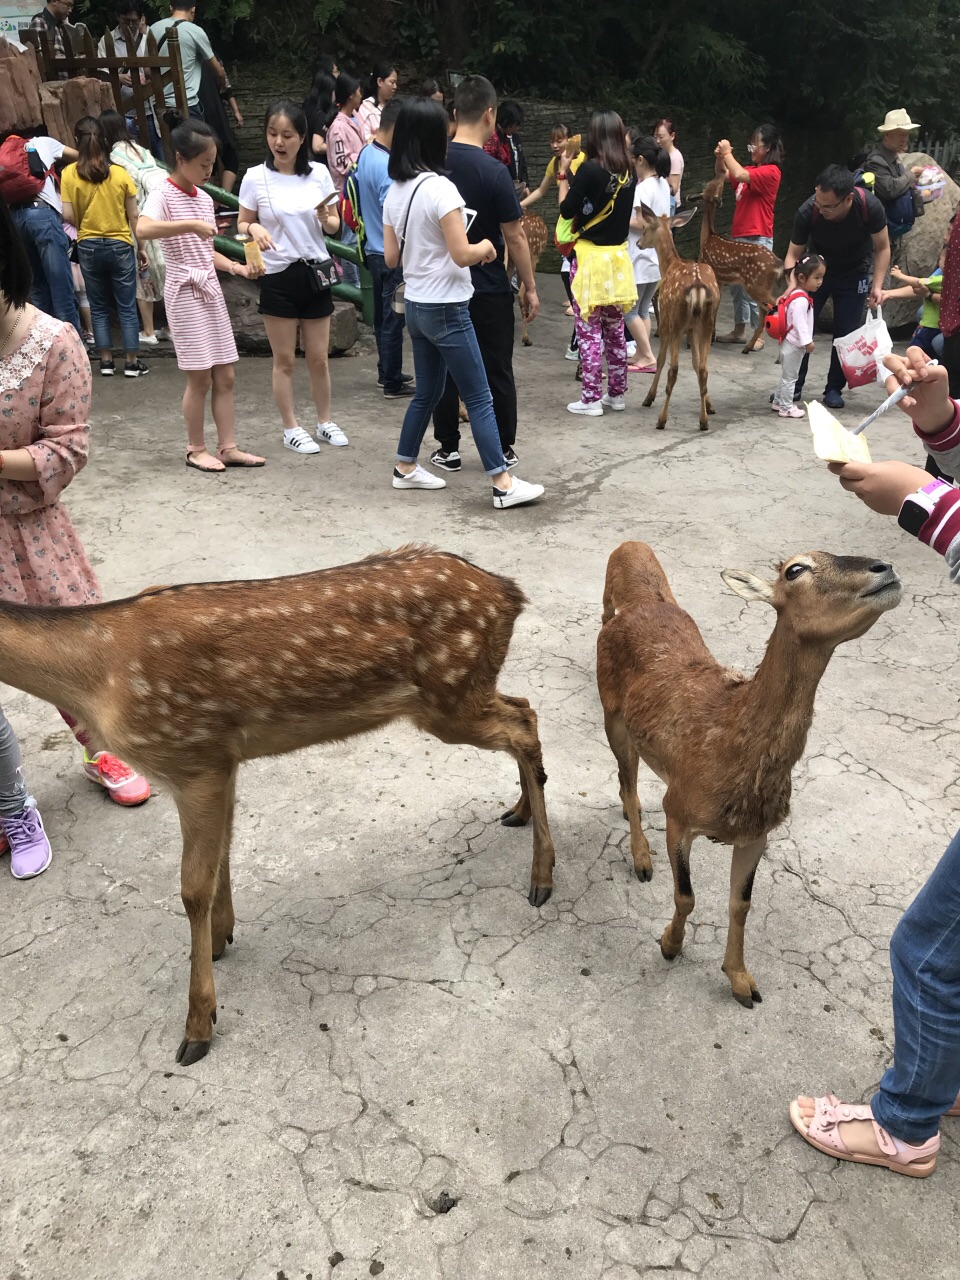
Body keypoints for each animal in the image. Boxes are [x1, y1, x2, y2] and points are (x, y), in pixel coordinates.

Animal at [0, 545, 560, 1064]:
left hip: (450, 695)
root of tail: (509, 592)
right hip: (462, 693)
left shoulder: (193, 759)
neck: (97, 673)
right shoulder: (223, 760)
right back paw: (519, 813)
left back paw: (541, 877)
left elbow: (192, 888)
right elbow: (222, 855)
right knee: (525, 708)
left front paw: (198, 1026)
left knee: (523, 724)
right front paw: (222, 938)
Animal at [599, 540, 906, 1008]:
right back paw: (641, 860)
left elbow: (740, 904)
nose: (885, 568)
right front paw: (670, 945)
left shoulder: (756, 833)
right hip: (612, 714)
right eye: (795, 569)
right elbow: (686, 895)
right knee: (627, 784)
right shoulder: (679, 811)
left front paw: (742, 982)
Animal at [640, 209, 721, 430]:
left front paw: (649, 397)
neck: (670, 265)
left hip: (676, 320)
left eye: (644, 228)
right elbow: (695, 363)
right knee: (704, 368)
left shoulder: (666, 322)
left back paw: (661, 419)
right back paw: (704, 421)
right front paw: (709, 405)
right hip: (706, 322)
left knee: (673, 369)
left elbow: (660, 360)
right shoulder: (692, 329)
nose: (639, 243)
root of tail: (698, 288)